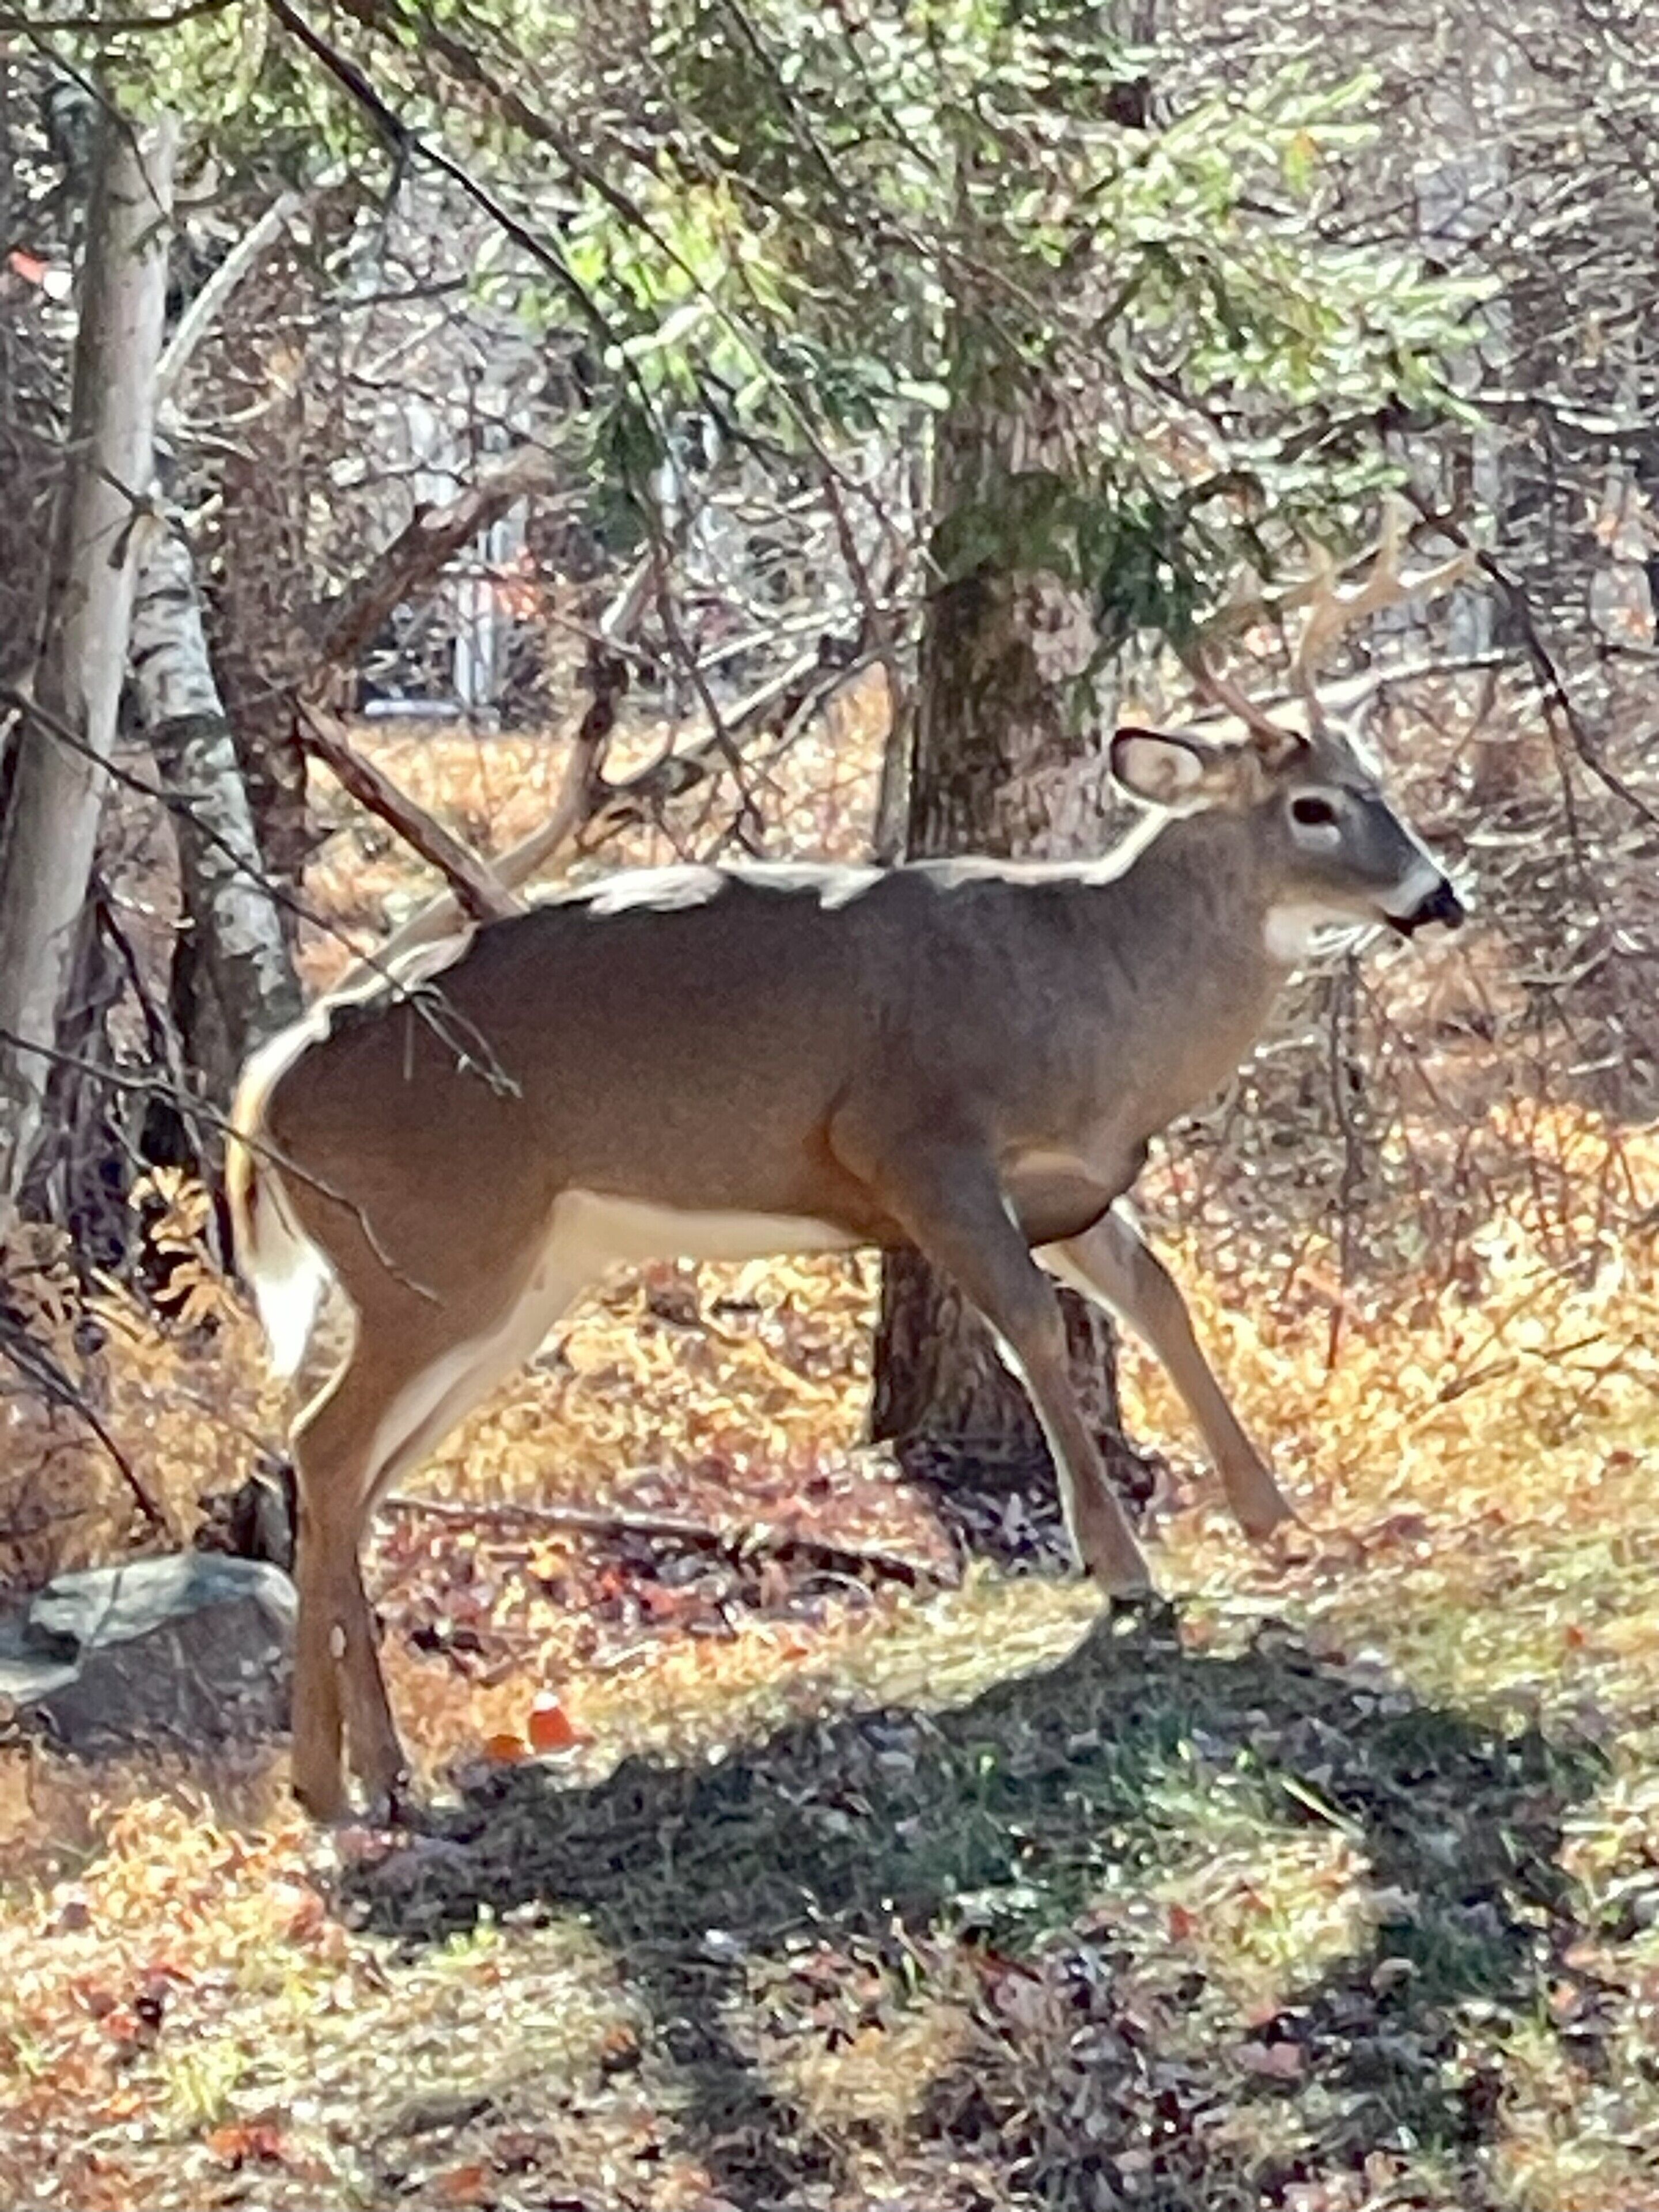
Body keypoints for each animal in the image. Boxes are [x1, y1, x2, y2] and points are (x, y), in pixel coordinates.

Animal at [228, 514, 1472, 1818]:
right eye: (1314, 808)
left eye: (1381, 785)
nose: (1439, 897)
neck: (1094, 993)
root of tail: (275, 1079)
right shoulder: (914, 1140)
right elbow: (1034, 1326)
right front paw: (1122, 1568)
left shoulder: (1074, 1182)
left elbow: (1159, 1299)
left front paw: (1272, 1515)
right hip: (428, 1246)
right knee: (323, 1443)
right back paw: (337, 1785)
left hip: (520, 1275)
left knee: (358, 1471)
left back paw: (369, 1772)